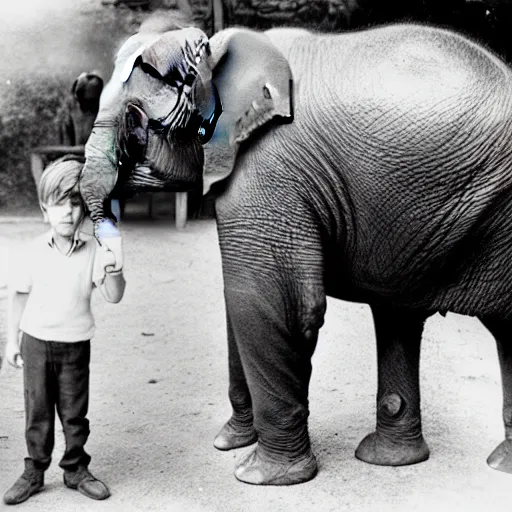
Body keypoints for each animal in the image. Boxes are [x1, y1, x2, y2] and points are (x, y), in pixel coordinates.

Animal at [80, 22, 512, 486]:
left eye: (133, 119)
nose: (110, 275)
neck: (215, 54)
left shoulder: (269, 170)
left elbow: (272, 301)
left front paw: (259, 477)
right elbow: (240, 303)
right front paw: (230, 443)